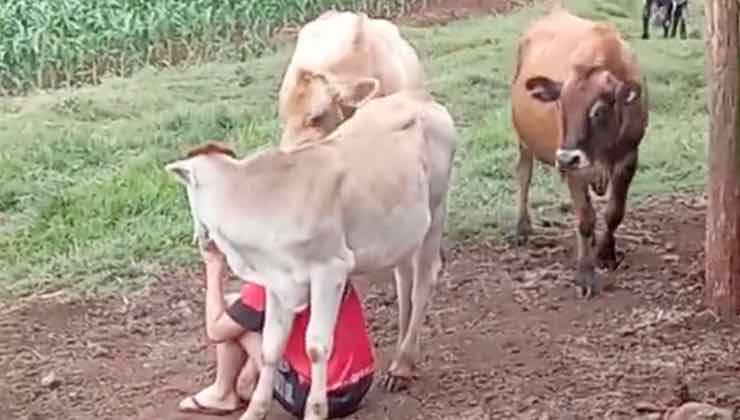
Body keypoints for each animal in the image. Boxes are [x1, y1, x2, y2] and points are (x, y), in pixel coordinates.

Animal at [165, 89, 460, 420]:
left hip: (436, 209)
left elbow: (317, 347)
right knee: (404, 280)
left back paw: (404, 364)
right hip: (402, 232)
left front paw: (316, 410)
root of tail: (419, 98)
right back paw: (399, 358)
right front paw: (255, 410)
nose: (201, 239)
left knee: (423, 282)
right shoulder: (277, 281)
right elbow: (271, 346)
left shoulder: (330, 270)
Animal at [512, 9, 652, 298]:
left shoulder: (628, 159)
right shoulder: (575, 168)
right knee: (523, 175)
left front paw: (606, 253)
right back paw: (523, 227)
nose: (566, 158)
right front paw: (586, 274)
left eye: (598, 110)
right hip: (524, 141)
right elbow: (585, 219)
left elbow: (614, 212)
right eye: (561, 105)